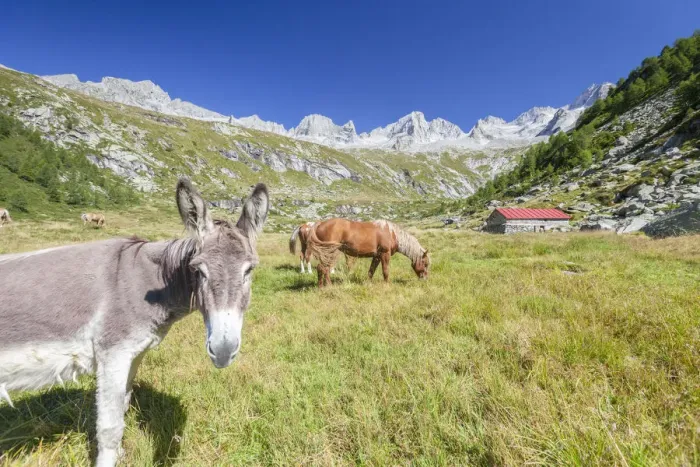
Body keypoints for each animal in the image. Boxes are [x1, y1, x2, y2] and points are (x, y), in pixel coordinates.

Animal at [0, 179, 269, 467]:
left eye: (249, 270)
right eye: (198, 270)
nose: (223, 351)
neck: (147, 282)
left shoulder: (134, 353)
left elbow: (124, 404)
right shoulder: (112, 354)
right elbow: (109, 427)